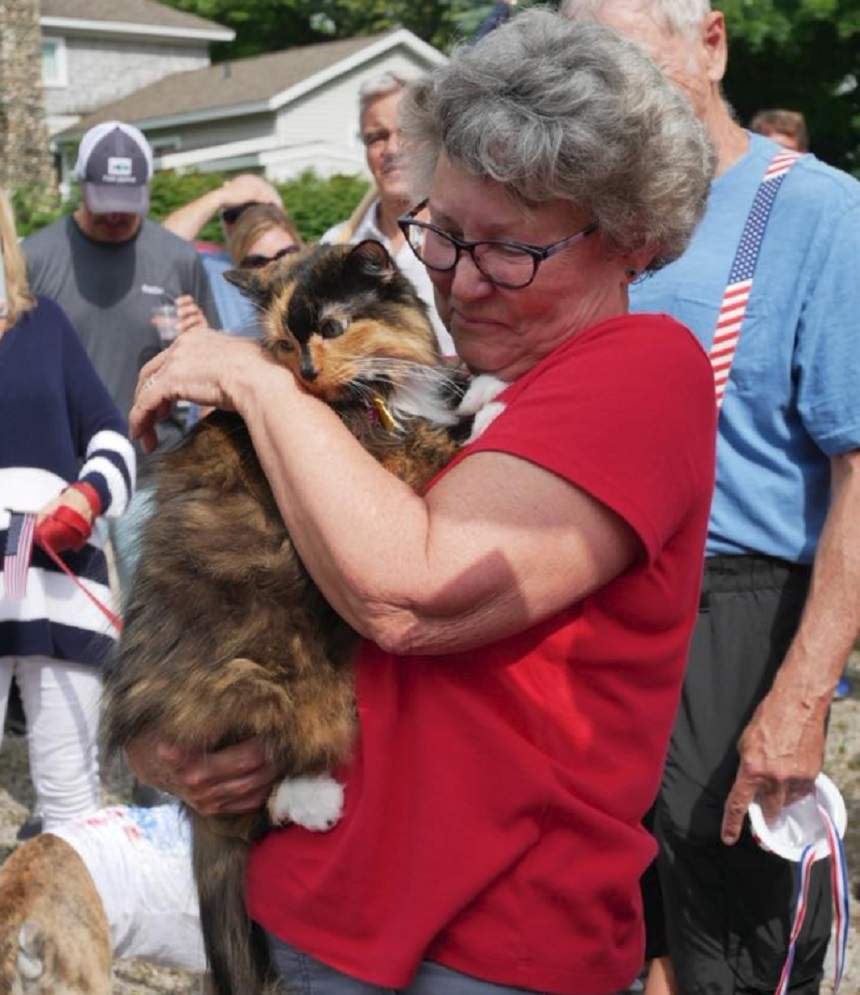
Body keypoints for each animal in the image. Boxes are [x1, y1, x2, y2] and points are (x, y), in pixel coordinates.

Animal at [101, 239, 498, 995]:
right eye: (286, 343)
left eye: (333, 328)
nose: (307, 373)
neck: (373, 392)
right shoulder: (388, 473)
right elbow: (434, 445)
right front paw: (488, 400)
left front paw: (470, 386)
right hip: (271, 664)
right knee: (272, 767)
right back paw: (313, 799)